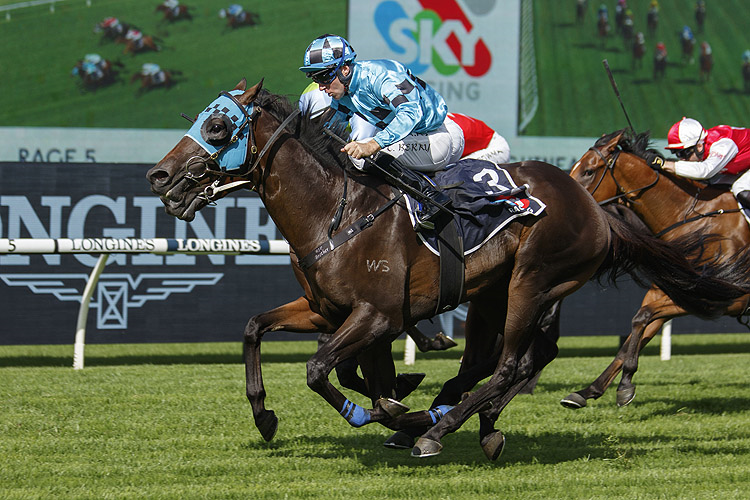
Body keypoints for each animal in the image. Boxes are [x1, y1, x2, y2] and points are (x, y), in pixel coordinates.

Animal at [564, 130, 750, 410]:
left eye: (588, 171)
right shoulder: (670, 292)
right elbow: (636, 330)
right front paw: (588, 391)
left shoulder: (722, 299)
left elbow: (642, 318)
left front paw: (625, 385)